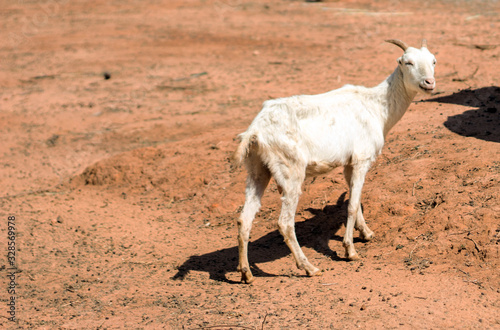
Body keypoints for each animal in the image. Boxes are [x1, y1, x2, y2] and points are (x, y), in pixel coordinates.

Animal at [232, 40, 436, 284]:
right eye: (407, 62)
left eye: (434, 61)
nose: (429, 83)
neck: (377, 107)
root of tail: (255, 131)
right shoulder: (362, 158)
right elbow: (352, 205)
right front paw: (350, 250)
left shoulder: (349, 164)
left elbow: (355, 197)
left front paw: (366, 233)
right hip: (291, 171)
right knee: (285, 223)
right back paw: (309, 268)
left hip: (257, 170)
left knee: (244, 219)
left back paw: (246, 273)